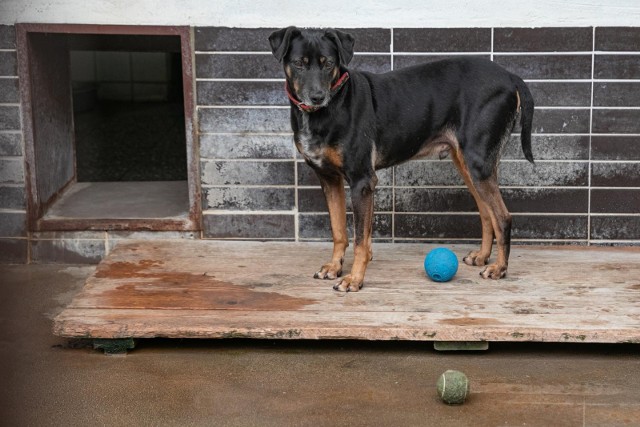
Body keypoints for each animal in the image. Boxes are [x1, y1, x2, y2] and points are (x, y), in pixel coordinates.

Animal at [270, 26, 536, 292]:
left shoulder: (362, 180)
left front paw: (354, 279)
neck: (330, 107)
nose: (317, 97)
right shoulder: (329, 179)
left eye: (329, 64)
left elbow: (359, 240)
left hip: (478, 163)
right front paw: (335, 267)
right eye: (298, 63)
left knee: (502, 216)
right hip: (467, 164)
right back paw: (482, 256)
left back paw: (499, 268)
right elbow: (339, 231)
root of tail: (510, 76)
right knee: (486, 212)